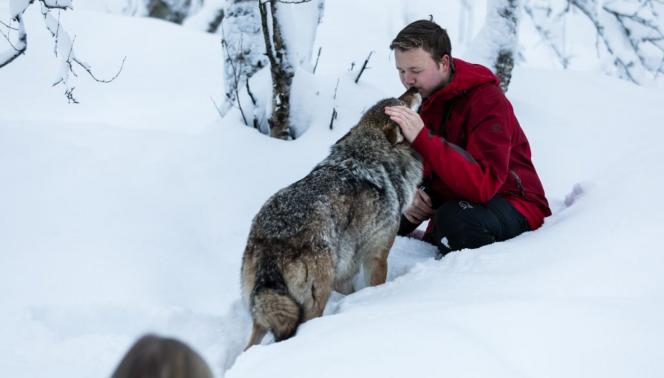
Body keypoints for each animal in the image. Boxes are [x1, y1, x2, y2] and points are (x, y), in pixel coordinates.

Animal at [241, 88, 422, 348]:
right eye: (402, 104)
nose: (415, 89)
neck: (367, 153)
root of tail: (273, 240)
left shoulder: (345, 269)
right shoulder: (376, 256)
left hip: (263, 311)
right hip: (316, 300)